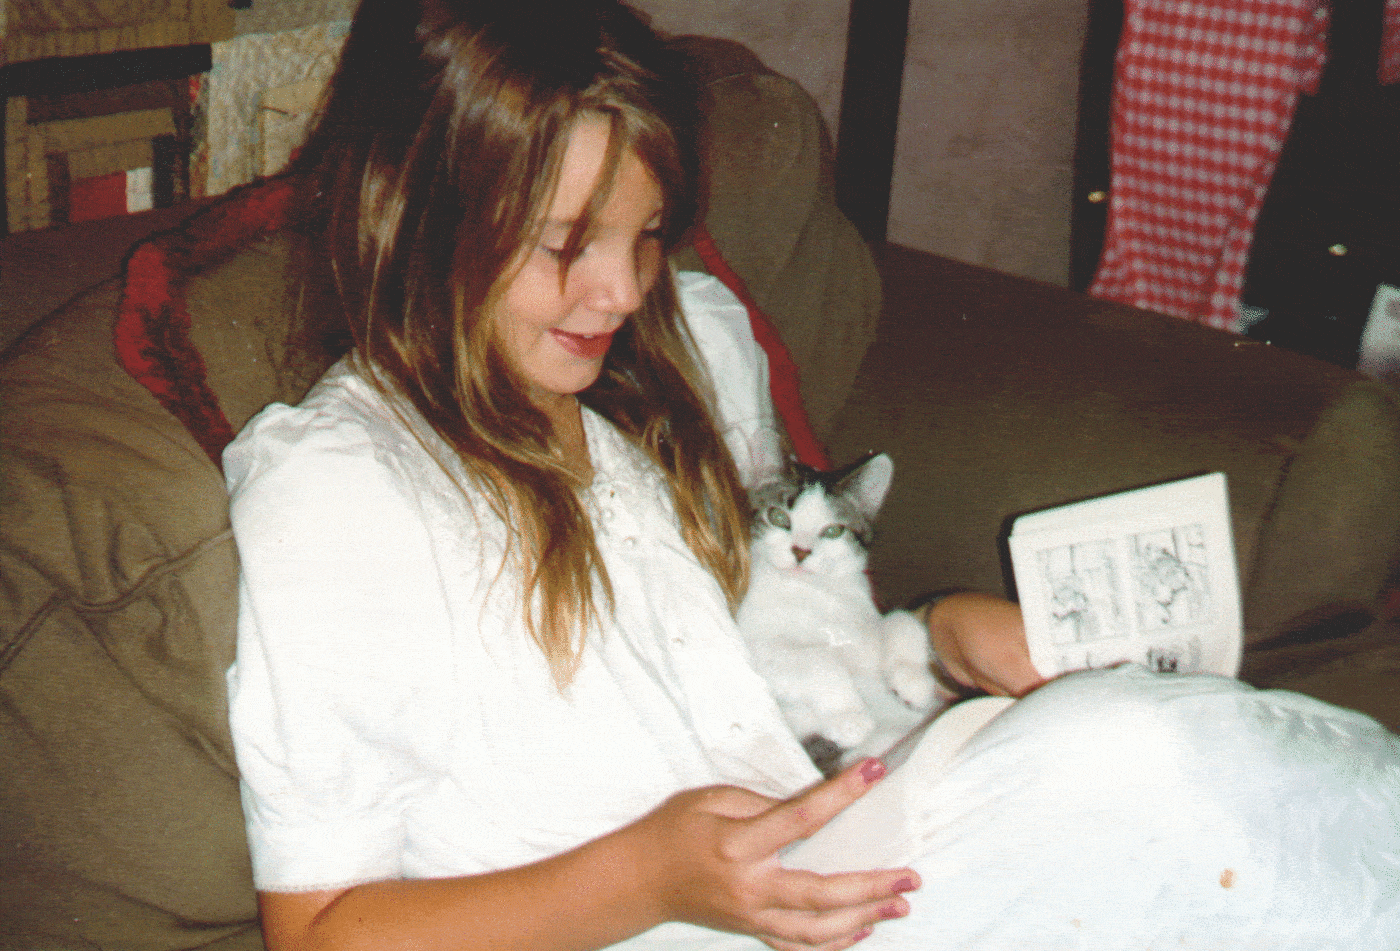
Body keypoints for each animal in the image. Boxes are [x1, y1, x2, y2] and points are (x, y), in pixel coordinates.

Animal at [733, 453, 952, 773]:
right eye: (778, 517)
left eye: (833, 531)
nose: (800, 551)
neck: (818, 592)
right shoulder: (754, 644)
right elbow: (817, 658)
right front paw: (850, 718)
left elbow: (902, 620)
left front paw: (914, 683)